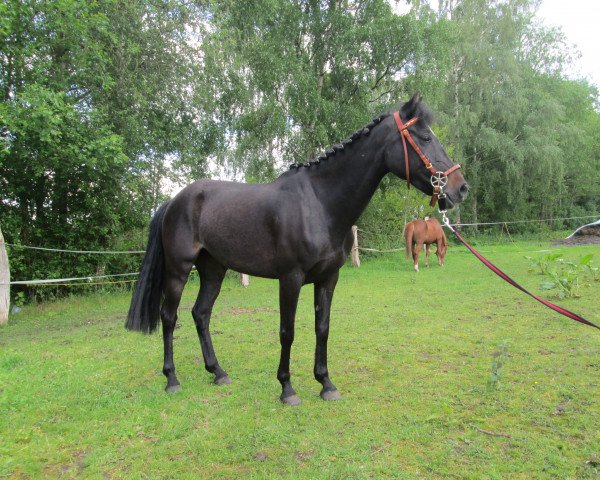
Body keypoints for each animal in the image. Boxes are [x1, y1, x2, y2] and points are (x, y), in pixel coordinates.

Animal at [126, 94, 468, 404]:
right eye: (425, 137)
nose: (460, 188)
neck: (320, 203)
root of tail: (174, 200)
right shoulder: (290, 279)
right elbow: (287, 331)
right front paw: (287, 388)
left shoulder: (328, 278)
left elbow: (322, 327)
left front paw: (326, 383)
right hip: (179, 269)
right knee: (169, 317)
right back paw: (172, 379)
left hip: (213, 269)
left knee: (201, 314)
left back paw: (218, 372)